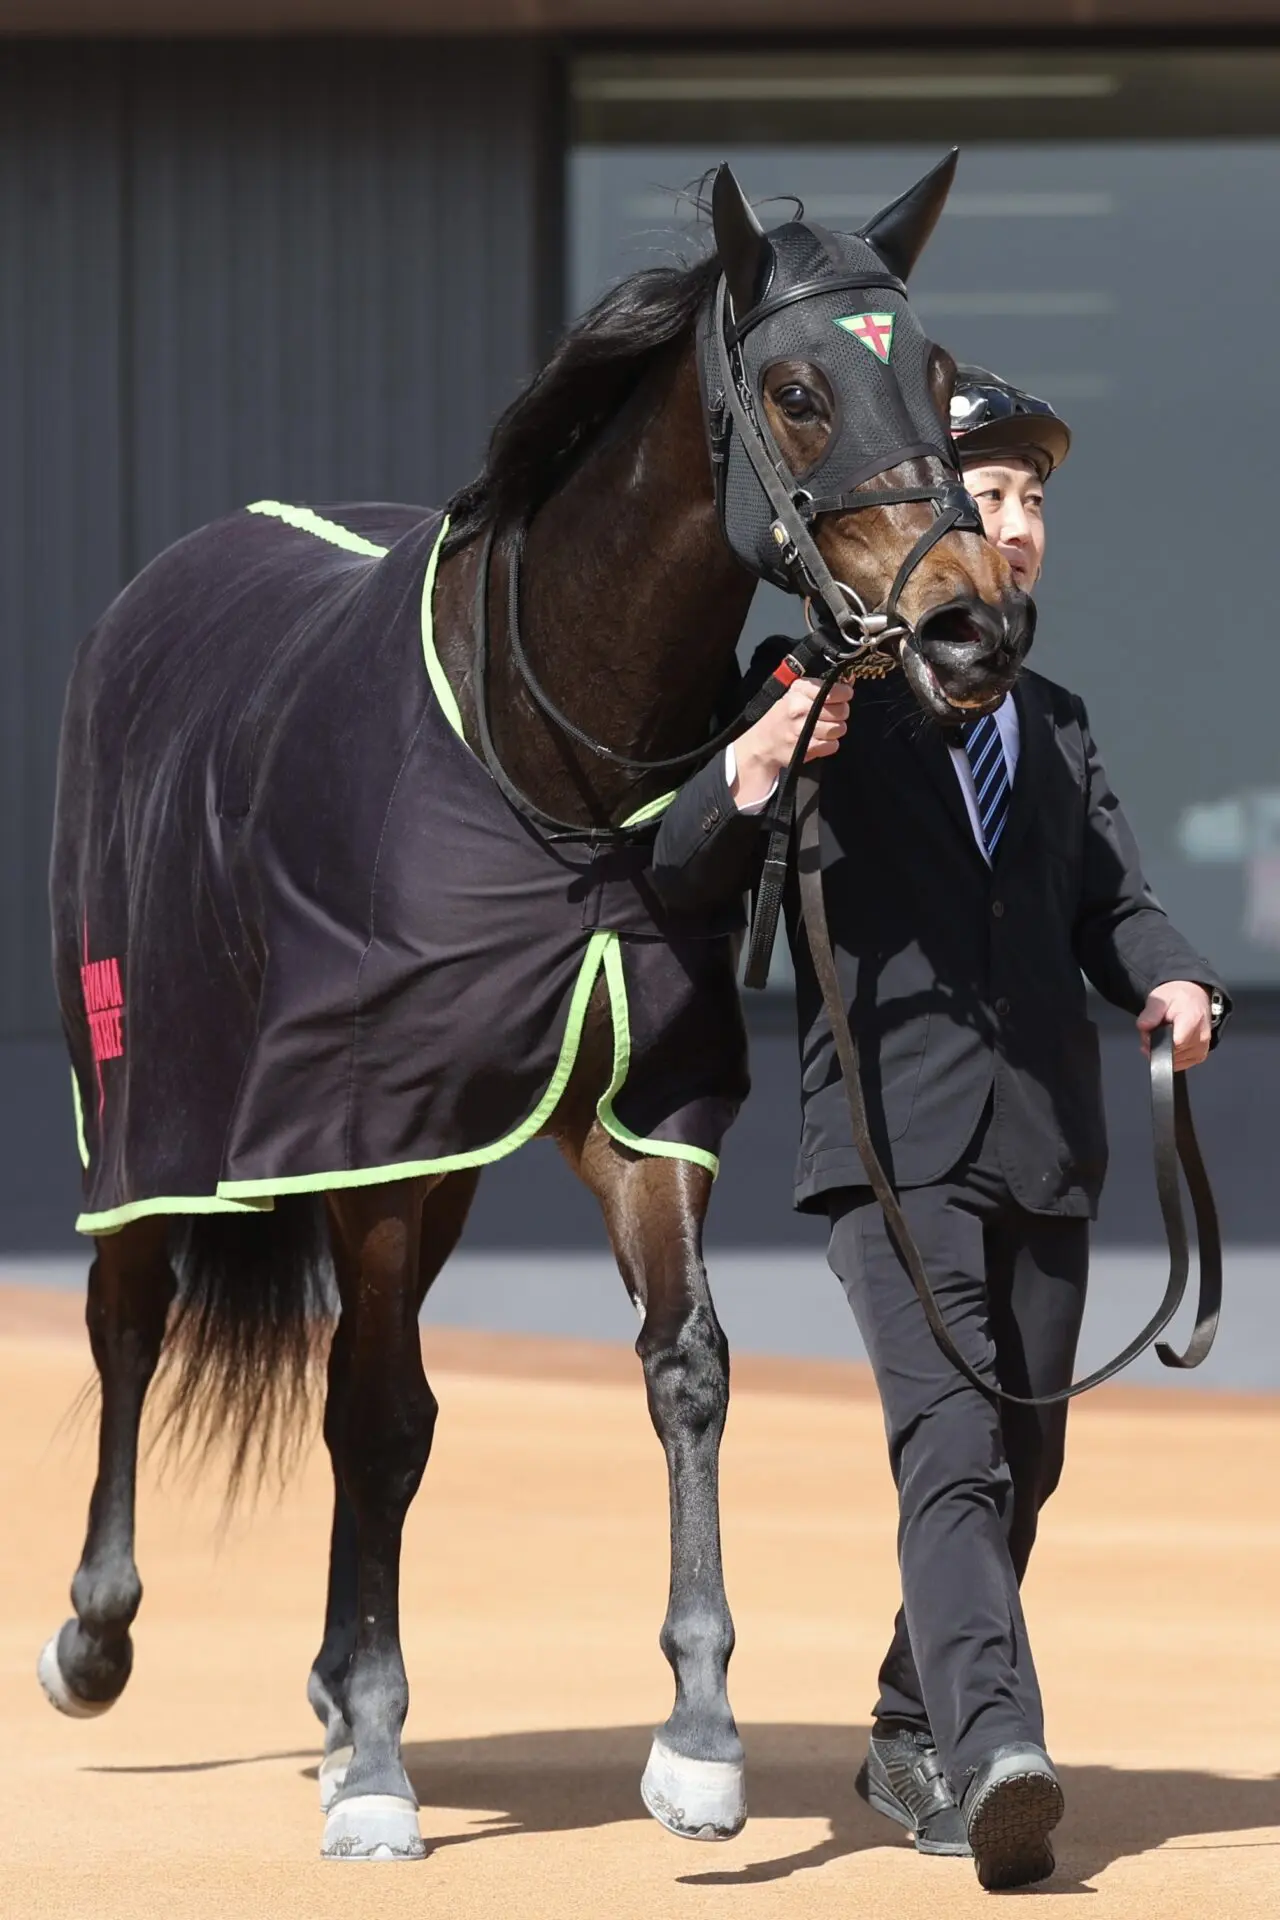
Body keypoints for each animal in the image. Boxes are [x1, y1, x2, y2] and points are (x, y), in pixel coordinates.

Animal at [38, 154, 1033, 1860]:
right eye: (797, 390)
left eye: (938, 370)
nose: (973, 629)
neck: (545, 761)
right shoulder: (368, 1128)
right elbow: (372, 1415)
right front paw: (379, 1767)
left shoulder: (627, 1113)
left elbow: (681, 1369)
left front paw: (697, 1737)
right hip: (150, 1099)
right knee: (132, 1316)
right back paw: (102, 1636)